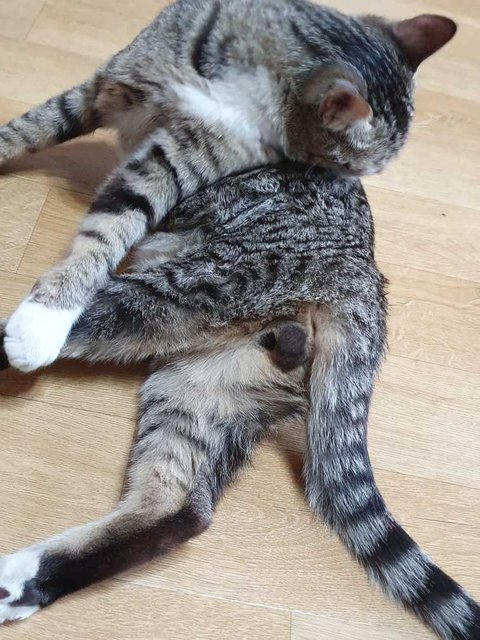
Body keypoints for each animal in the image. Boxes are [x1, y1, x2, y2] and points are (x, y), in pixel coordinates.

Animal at [0, 0, 456, 374]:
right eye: (347, 164)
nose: (341, 187)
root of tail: (365, 267)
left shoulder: (174, 164)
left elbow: (111, 229)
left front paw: (41, 321)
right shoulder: (107, 89)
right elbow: (29, 129)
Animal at [1, 164, 479, 639]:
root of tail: (363, 277)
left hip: (195, 285)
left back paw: (25, 334)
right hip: (202, 385)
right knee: (175, 506)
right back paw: (28, 579)